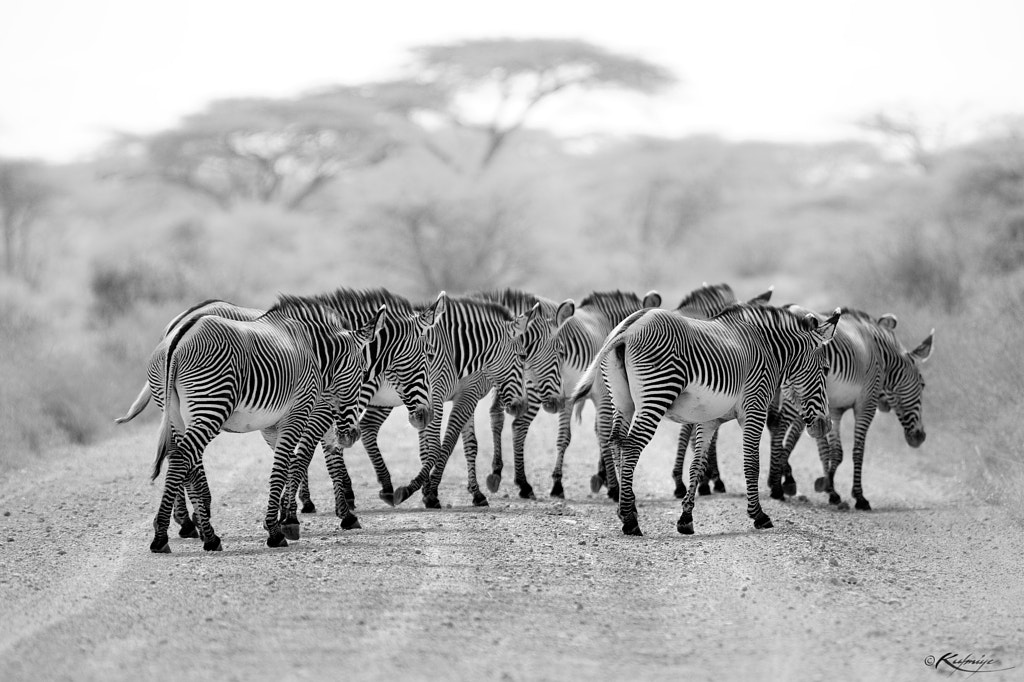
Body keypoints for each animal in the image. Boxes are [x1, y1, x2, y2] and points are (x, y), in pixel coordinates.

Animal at [151, 294, 387, 548]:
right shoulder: (299, 413)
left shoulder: (274, 425)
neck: (315, 354)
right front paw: (279, 528)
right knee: (181, 458)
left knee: (185, 461)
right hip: (210, 407)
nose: (352, 435)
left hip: (177, 415)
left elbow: (291, 463)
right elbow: (289, 463)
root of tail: (179, 336)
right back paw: (165, 536)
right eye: (363, 372)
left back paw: (206, 533)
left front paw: (285, 517)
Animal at [339, 294, 532, 507]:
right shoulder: (447, 396)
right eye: (523, 356)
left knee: (366, 427)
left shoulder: (462, 397)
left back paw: (380, 489)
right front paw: (428, 492)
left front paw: (474, 493)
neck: (463, 351)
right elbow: (444, 444)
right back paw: (347, 494)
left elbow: (469, 445)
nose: (521, 406)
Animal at [548, 288, 659, 497]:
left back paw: (557, 485)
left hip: (564, 395)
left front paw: (603, 476)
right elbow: (604, 433)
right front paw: (608, 480)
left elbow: (598, 431)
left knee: (562, 437)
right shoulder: (607, 397)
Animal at [569, 303, 839, 536]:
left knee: (616, 441)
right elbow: (751, 463)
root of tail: (630, 327)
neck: (768, 348)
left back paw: (626, 507)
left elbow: (697, 465)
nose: (825, 425)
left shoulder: (709, 420)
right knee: (632, 445)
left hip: (623, 400)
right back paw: (630, 520)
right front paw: (759, 515)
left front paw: (686, 519)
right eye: (826, 369)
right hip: (656, 393)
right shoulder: (755, 407)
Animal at [765, 305, 933, 507]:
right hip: (797, 391)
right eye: (922, 384)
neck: (882, 355)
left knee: (776, 424)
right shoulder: (866, 404)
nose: (921, 436)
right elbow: (857, 450)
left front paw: (829, 488)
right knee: (780, 426)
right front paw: (859, 497)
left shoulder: (835, 409)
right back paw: (777, 487)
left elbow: (834, 451)